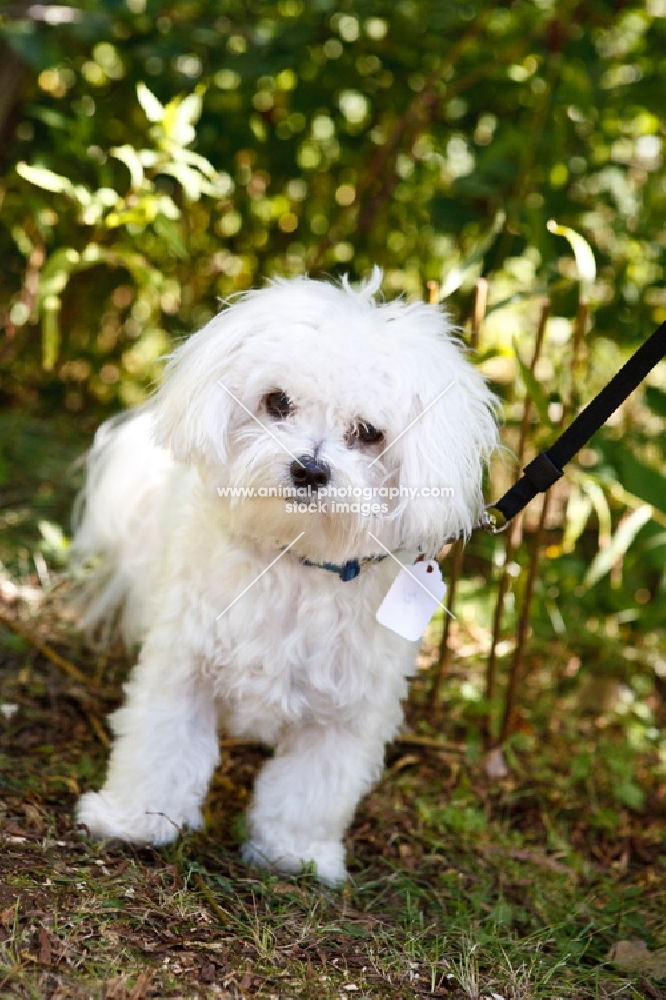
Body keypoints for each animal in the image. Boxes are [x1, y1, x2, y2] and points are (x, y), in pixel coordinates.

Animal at [72, 266, 498, 884]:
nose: (310, 469)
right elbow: (161, 747)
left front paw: (293, 855)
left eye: (369, 432)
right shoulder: (183, 669)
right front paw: (135, 820)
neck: (294, 557)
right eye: (277, 402)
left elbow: (308, 792)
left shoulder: (346, 715)